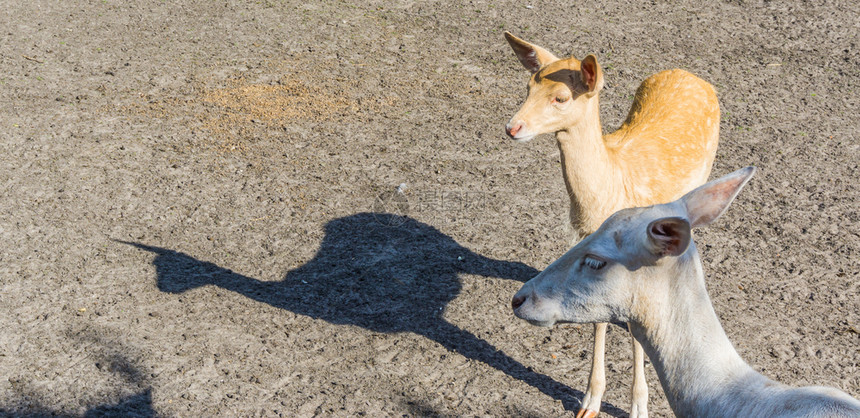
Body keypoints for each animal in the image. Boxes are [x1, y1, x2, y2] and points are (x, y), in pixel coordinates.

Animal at [500, 32, 724, 418]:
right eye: (528, 87)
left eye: (560, 97)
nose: (513, 127)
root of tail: (691, 75)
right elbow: (598, 316)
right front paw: (589, 401)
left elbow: (637, 329)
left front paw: (638, 407)